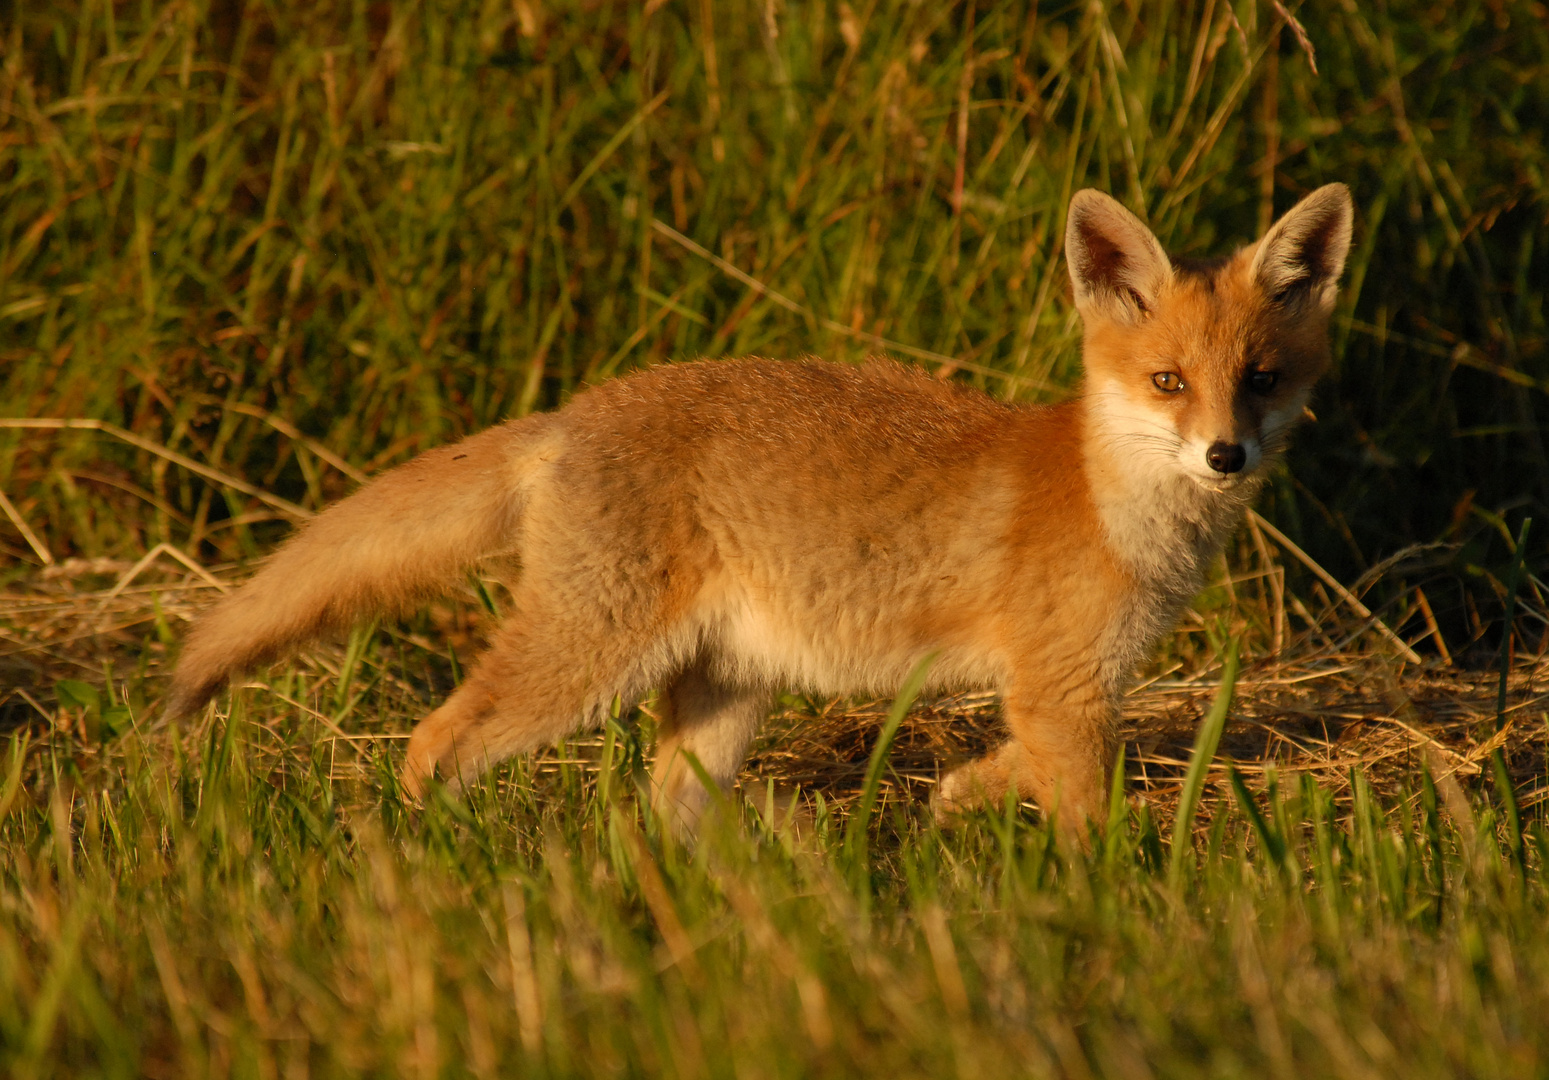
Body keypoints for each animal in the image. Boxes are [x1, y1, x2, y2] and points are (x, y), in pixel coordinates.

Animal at [169, 183, 1350, 836]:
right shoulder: (1059, 690)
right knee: (432, 741)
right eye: (1167, 382)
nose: (1225, 454)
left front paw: (951, 800)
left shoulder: (1060, 695)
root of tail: (571, 413)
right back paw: (415, 862)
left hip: (718, 702)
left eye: (1258, 379)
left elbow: (998, 772)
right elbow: (1088, 828)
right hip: (586, 665)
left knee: (649, 824)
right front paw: (1103, 909)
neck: (1116, 508)